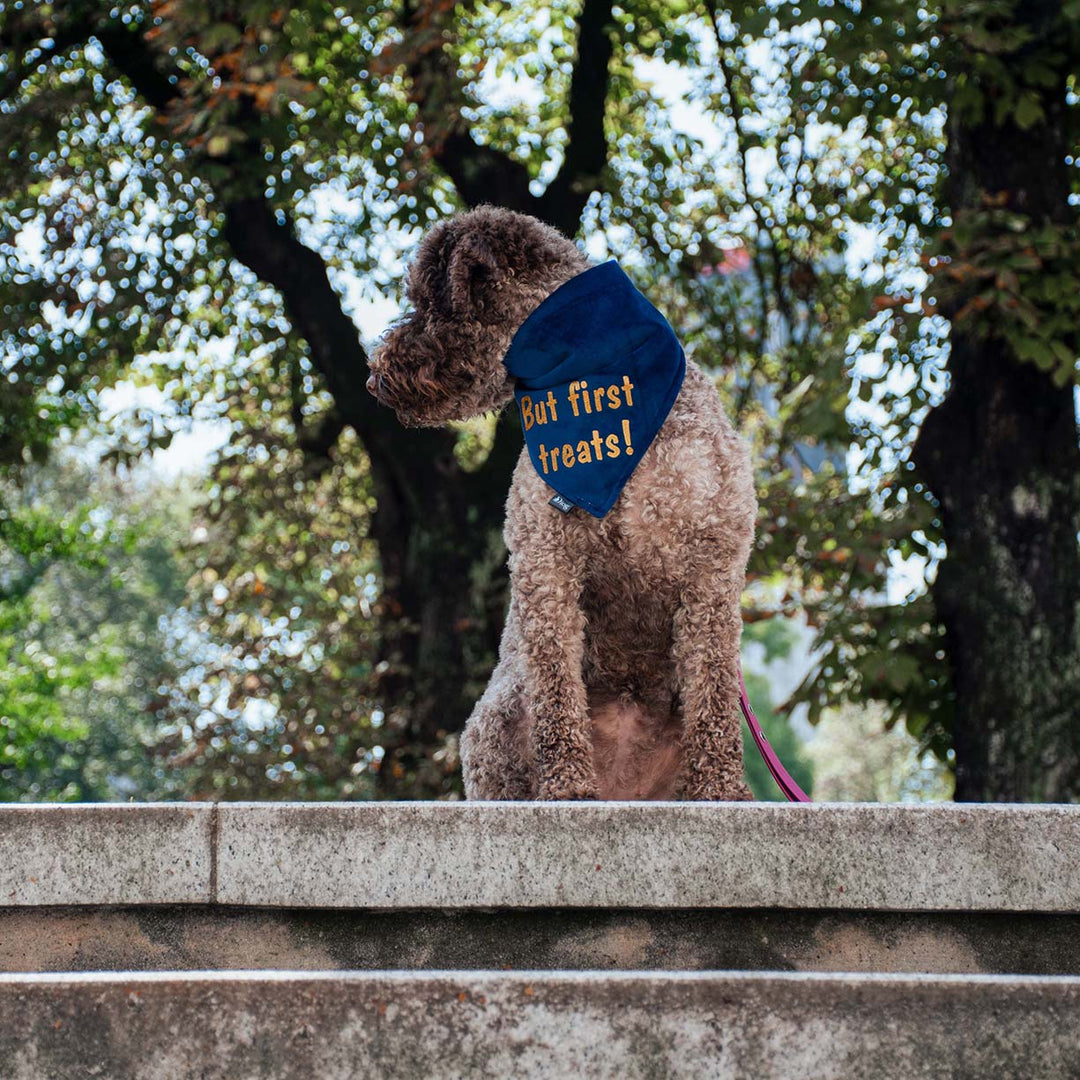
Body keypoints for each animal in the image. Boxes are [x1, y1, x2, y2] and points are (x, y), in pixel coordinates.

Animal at [367, 204, 756, 803]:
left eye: (427, 302)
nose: (375, 374)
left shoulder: (712, 569)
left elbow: (713, 690)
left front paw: (719, 787)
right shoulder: (546, 563)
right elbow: (555, 688)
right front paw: (568, 784)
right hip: (497, 714)